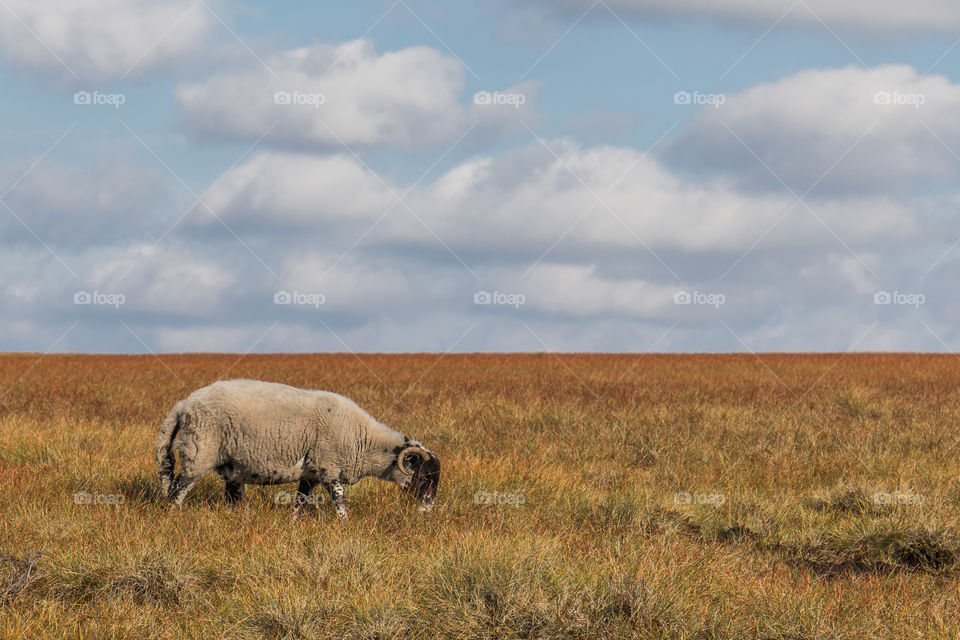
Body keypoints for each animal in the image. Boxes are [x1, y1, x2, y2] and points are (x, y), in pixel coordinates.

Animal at [156, 378, 440, 516]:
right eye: (424, 476)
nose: (427, 511)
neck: (363, 439)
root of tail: (185, 404)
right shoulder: (328, 467)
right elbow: (339, 500)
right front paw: (345, 524)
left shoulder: (311, 473)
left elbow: (299, 502)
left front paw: (293, 524)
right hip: (197, 454)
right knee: (177, 491)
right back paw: (172, 518)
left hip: (229, 465)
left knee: (231, 496)